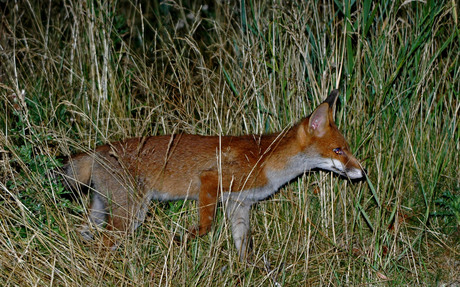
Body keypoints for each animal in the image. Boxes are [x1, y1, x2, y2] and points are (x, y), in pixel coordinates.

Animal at [63, 89, 364, 258]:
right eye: (338, 150)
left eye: (347, 149)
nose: (362, 172)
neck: (267, 161)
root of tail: (98, 150)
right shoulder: (210, 180)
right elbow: (206, 225)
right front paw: (182, 239)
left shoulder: (239, 204)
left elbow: (244, 246)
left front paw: (249, 272)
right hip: (131, 215)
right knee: (102, 244)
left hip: (106, 212)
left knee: (84, 235)